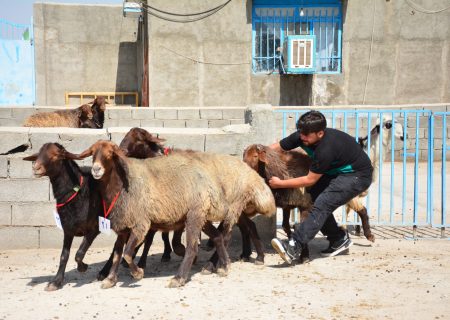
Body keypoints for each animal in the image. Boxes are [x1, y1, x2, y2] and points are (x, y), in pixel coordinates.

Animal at [72, 141, 276, 288]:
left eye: (109, 154)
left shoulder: (140, 224)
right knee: (219, 236)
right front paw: (110, 279)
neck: (122, 185)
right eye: (93, 153)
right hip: (200, 215)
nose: (95, 169)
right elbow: (116, 254)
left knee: (199, 245)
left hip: (202, 214)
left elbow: (128, 254)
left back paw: (180, 277)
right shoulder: (123, 226)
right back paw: (225, 266)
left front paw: (137, 273)